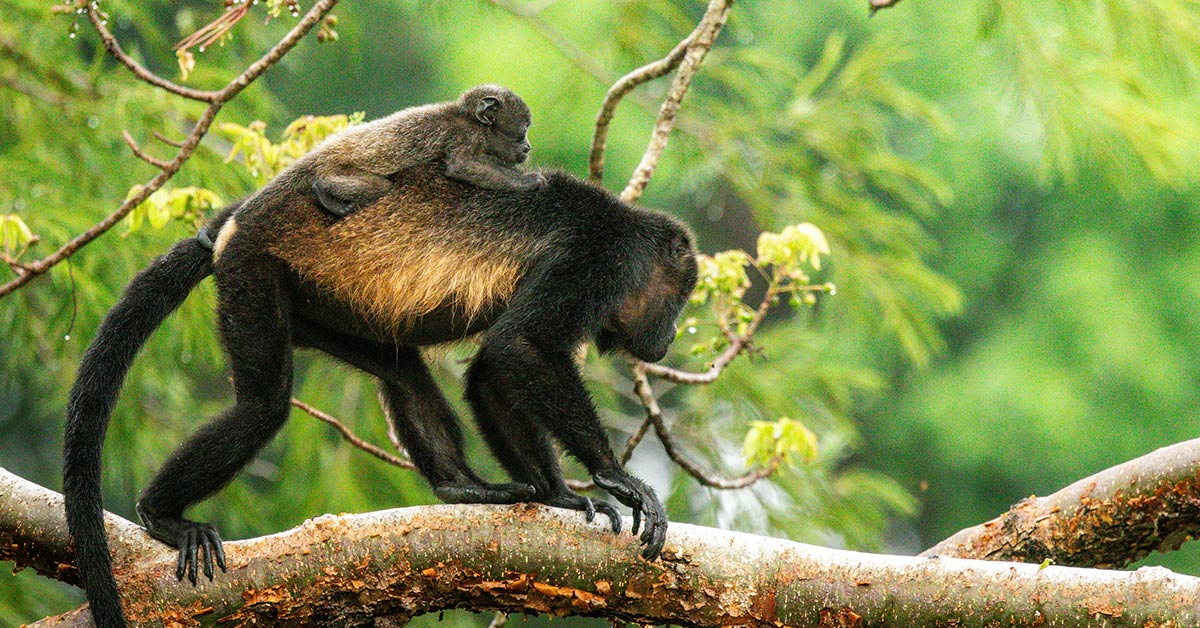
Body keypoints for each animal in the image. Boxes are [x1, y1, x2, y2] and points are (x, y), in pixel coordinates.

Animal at [63, 163, 698, 628]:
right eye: (679, 300)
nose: (669, 336)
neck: (629, 235)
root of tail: (239, 228)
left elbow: (491, 369)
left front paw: (560, 496)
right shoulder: (599, 258)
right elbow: (521, 345)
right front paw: (616, 477)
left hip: (319, 303)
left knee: (402, 370)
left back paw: (460, 485)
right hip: (251, 271)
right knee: (262, 407)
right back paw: (163, 515)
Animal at [301, 84, 546, 218]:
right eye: (524, 129)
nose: (528, 147)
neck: (472, 121)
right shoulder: (466, 136)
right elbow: (461, 166)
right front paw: (528, 182)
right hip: (340, 167)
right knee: (381, 186)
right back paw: (322, 189)